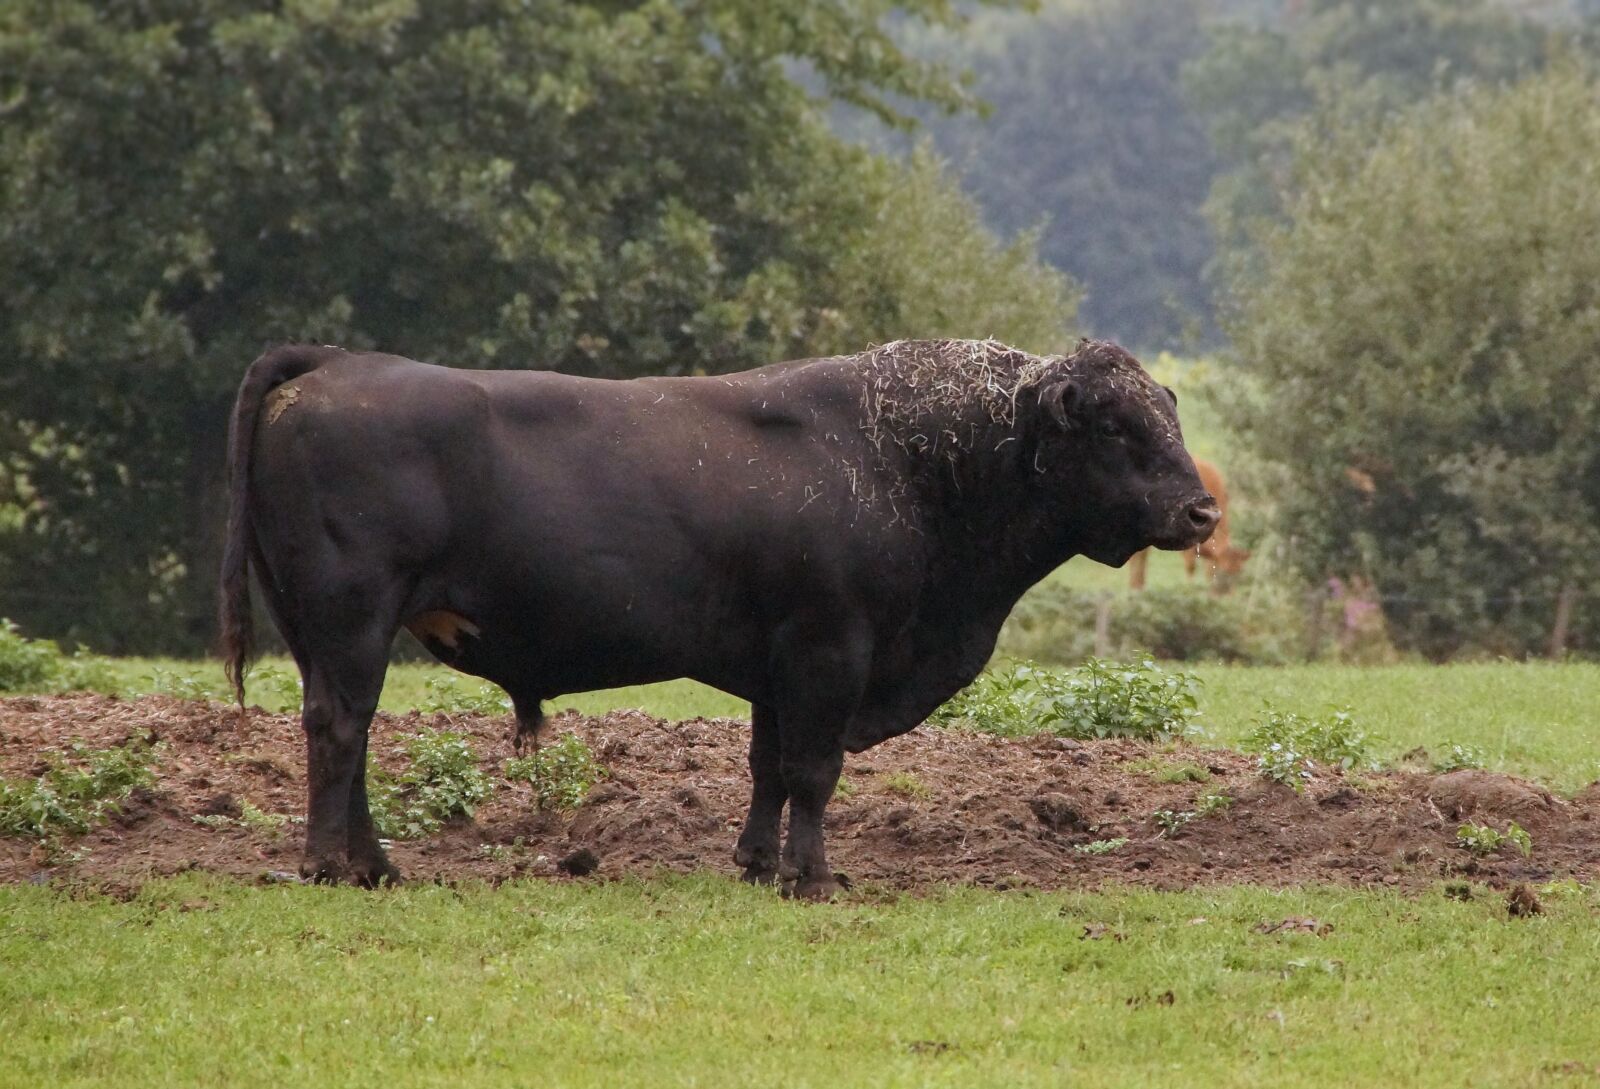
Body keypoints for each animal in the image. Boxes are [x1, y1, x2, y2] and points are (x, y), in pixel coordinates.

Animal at [219, 338, 1218, 898]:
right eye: (1115, 426)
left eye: (1168, 414)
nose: (1203, 510)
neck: (903, 456)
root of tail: (336, 362)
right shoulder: (830, 645)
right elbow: (813, 771)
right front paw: (812, 878)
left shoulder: (778, 665)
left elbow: (768, 768)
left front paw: (756, 861)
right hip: (352, 623)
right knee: (341, 730)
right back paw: (332, 865)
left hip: (326, 635)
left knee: (346, 734)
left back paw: (376, 865)